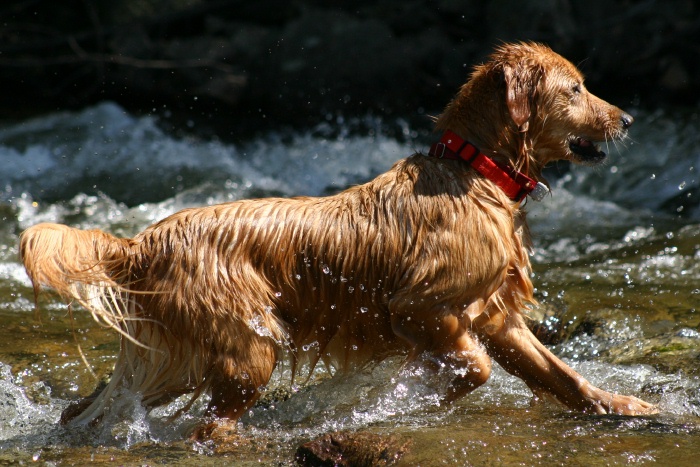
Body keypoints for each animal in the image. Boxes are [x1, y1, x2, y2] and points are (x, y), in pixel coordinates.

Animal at [20, 41, 656, 438]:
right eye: (575, 89)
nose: (628, 120)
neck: (475, 173)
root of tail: (140, 243)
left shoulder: (498, 315)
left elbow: (560, 373)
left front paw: (621, 407)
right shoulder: (419, 307)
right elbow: (472, 368)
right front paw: (399, 399)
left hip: (181, 357)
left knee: (86, 408)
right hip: (247, 348)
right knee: (209, 425)